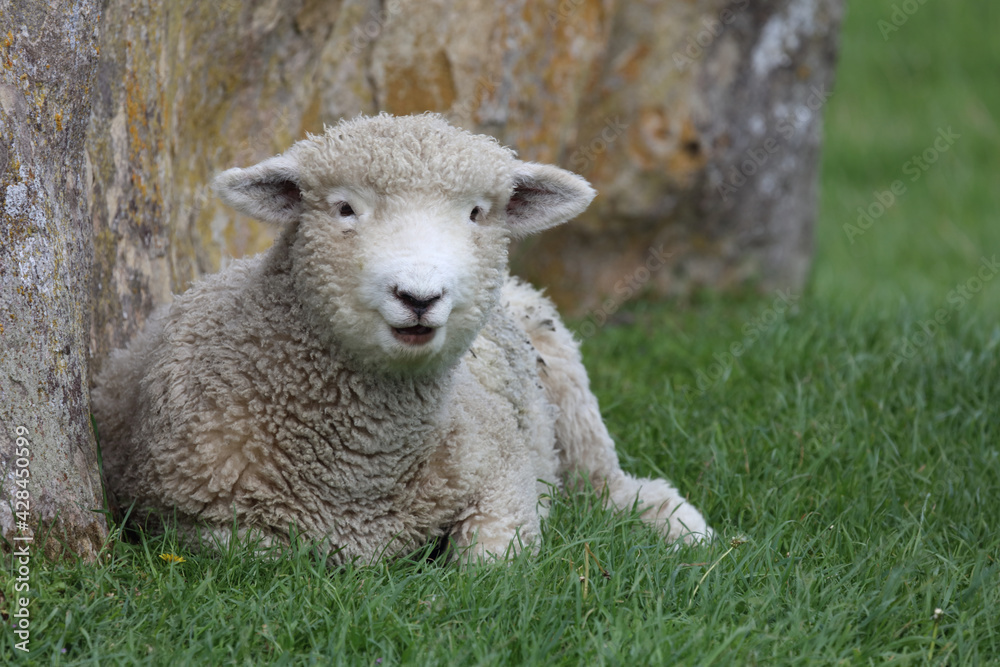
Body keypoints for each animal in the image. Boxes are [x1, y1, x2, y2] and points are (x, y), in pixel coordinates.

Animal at [92, 113, 713, 564]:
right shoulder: (184, 517)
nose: (419, 296)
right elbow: (266, 553)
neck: (359, 470)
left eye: (476, 213)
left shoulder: (505, 476)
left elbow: (492, 563)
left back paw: (676, 524)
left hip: (565, 382)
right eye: (344, 208)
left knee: (606, 483)